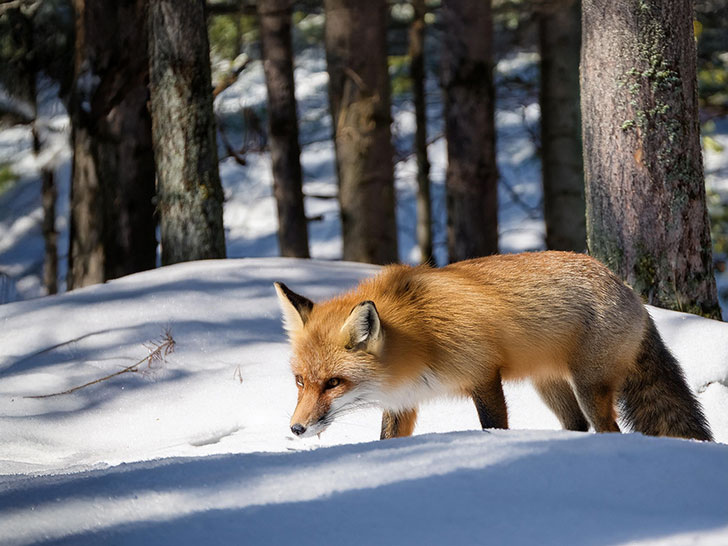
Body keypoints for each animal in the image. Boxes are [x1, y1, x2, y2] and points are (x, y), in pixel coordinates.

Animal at [272, 252, 712, 442]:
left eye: (333, 383)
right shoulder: (402, 402)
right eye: (299, 382)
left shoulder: (483, 374)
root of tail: (626, 288)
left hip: (590, 388)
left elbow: (493, 426)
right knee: (578, 427)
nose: (295, 428)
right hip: (551, 387)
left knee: (609, 429)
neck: (419, 332)